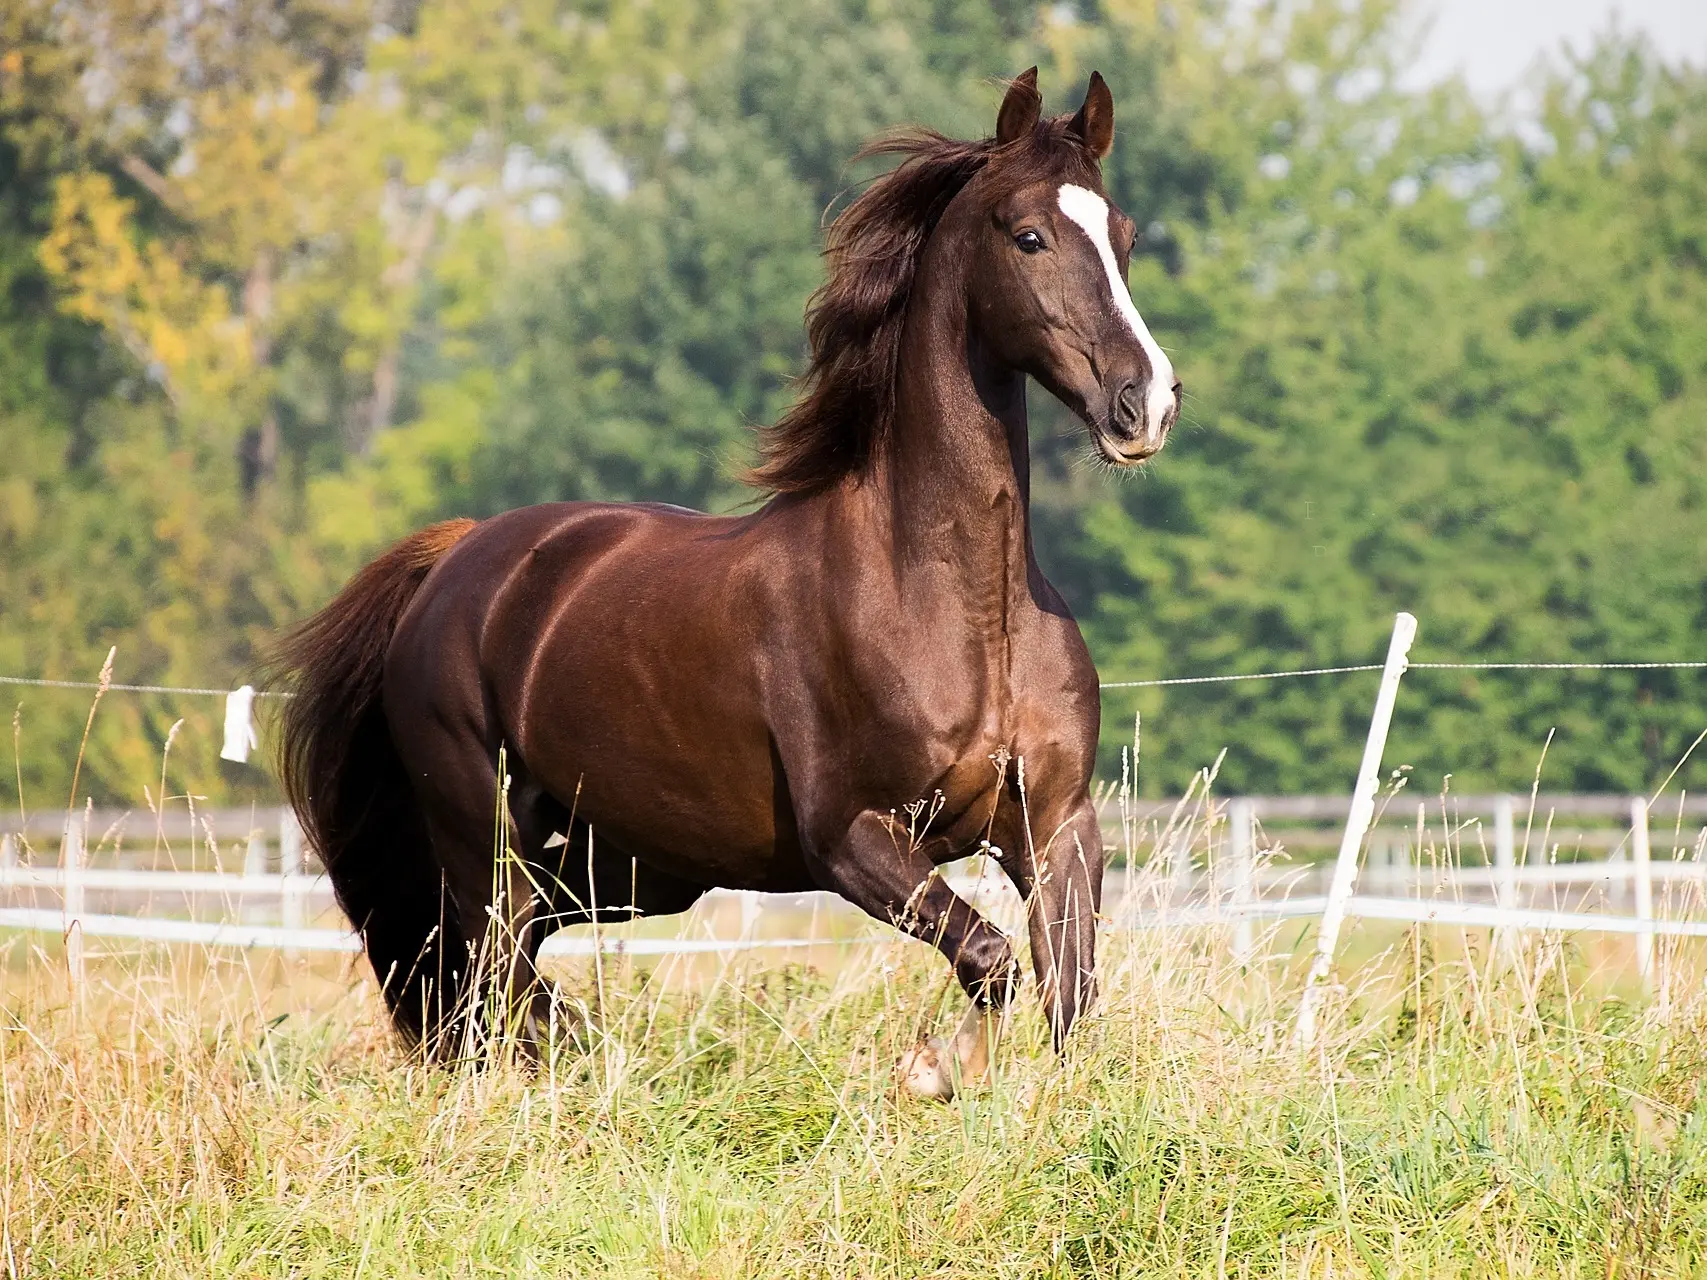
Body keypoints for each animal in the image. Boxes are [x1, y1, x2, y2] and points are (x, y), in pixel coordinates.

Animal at [273, 65, 1181, 1099]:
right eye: (1028, 235)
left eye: (1123, 236)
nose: (1144, 403)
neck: (957, 604)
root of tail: (459, 560)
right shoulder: (851, 838)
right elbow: (989, 960)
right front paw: (935, 1070)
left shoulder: (1057, 827)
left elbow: (1069, 994)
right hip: (482, 837)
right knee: (489, 973)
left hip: (624, 864)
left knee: (503, 969)